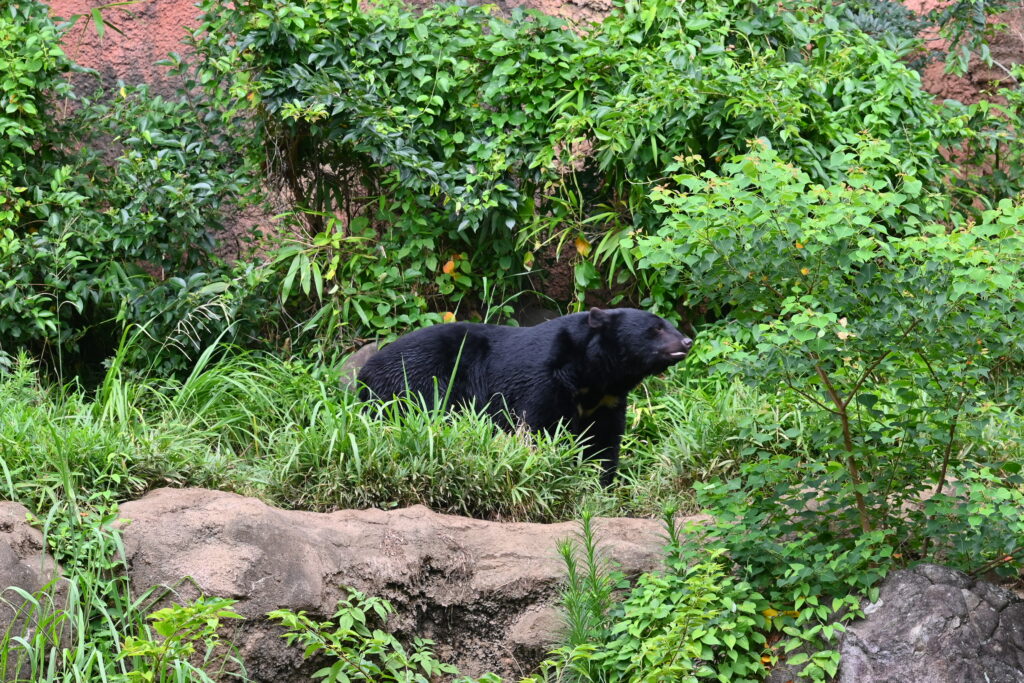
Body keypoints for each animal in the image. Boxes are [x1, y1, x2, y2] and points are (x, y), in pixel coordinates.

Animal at [357, 307, 693, 485]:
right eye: (656, 328)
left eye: (669, 325)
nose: (688, 341)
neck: (592, 375)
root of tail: (363, 375)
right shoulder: (544, 381)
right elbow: (540, 427)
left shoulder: (606, 400)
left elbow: (602, 441)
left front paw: (599, 483)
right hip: (415, 383)